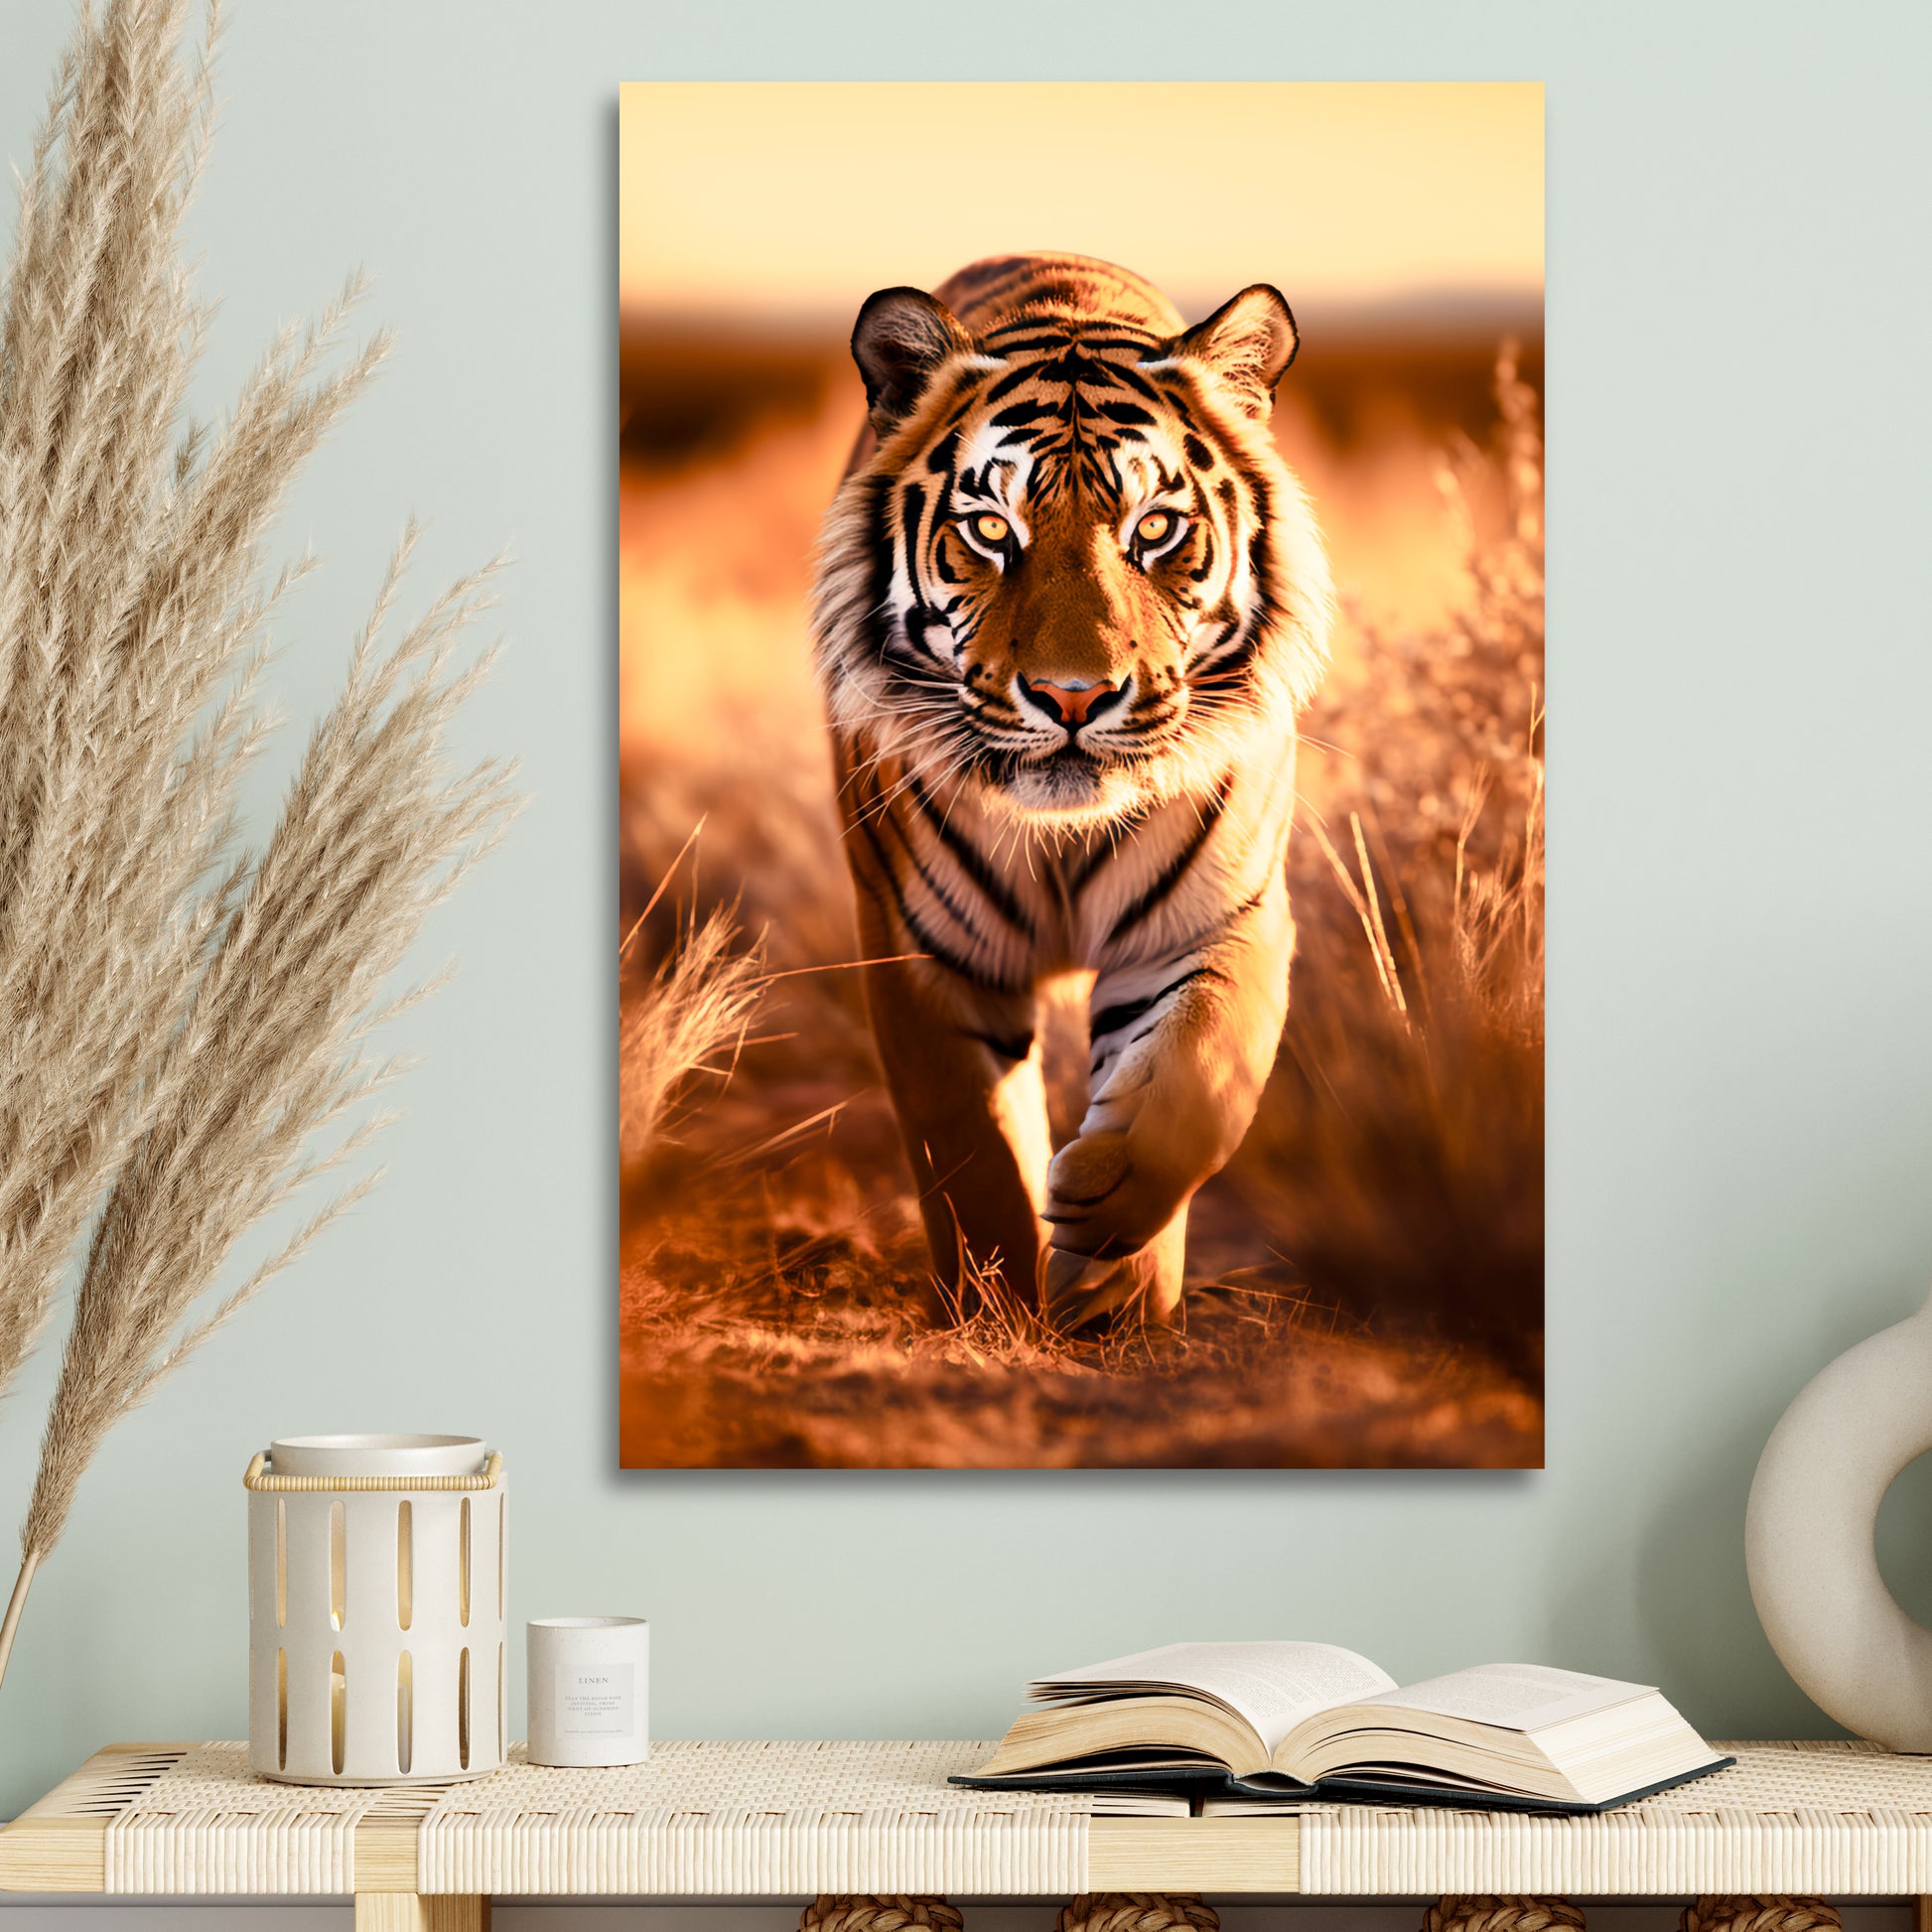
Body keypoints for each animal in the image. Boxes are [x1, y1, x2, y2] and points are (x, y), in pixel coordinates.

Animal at [810, 252, 1333, 1328]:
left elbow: (1199, 1077)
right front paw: (997, 1305)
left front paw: (1110, 1250)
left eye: (1156, 528)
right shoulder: (925, 950)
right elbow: (971, 1151)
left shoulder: (1217, 917)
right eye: (988, 530)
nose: (1072, 696)